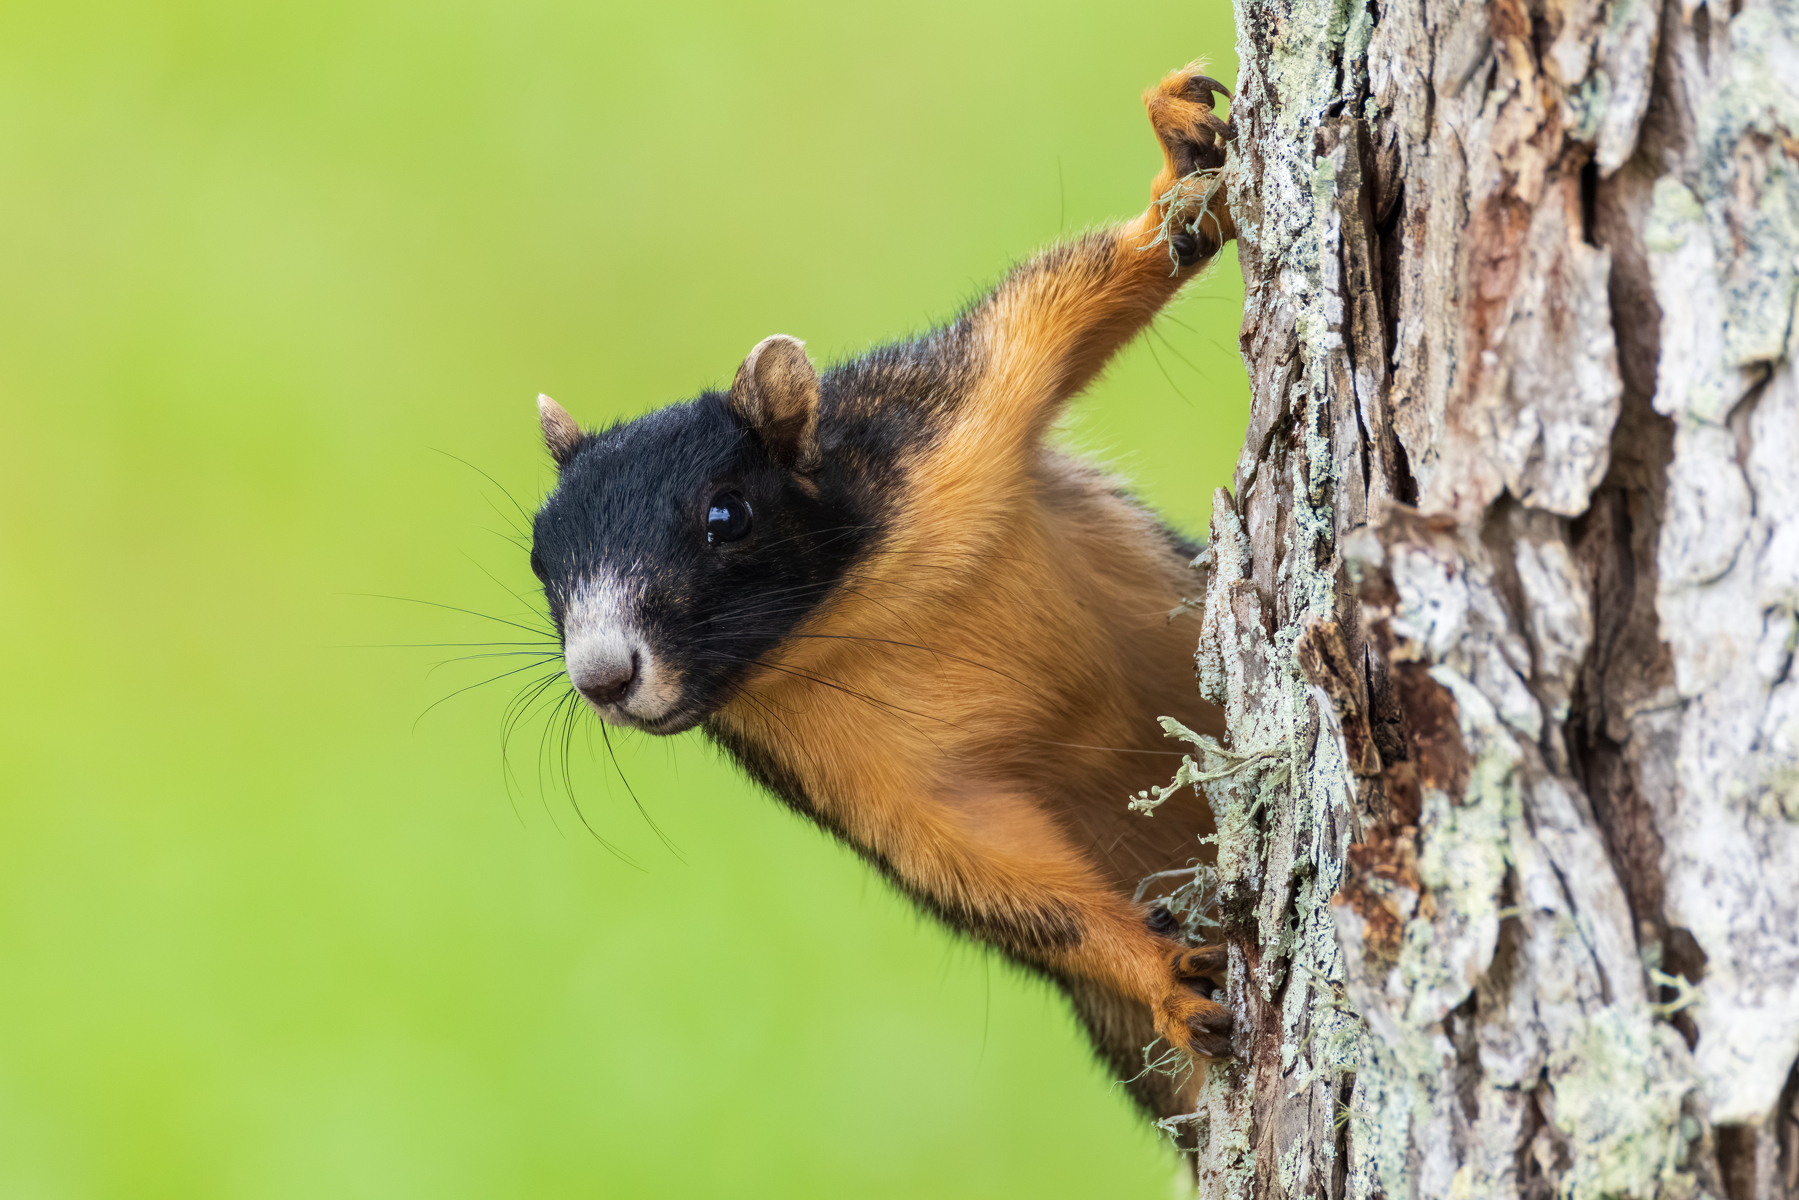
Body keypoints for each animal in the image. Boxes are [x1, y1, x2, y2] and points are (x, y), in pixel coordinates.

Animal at [528, 63, 1238, 1127]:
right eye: (539, 561)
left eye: (726, 516)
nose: (603, 677)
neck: (857, 606)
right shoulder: (844, 768)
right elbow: (999, 879)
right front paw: (1161, 977)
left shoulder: (954, 410)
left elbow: (1079, 292)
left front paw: (1181, 157)